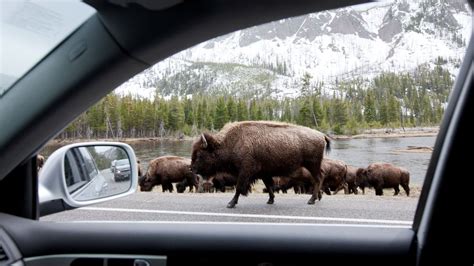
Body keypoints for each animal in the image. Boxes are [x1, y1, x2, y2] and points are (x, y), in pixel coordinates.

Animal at [189, 120, 330, 208]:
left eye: (200, 154)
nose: (192, 169)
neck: (230, 143)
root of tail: (321, 135)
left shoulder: (245, 172)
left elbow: (239, 187)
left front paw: (231, 203)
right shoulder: (264, 173)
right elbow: (269, 186)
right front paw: (270, 200)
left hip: (312, 164)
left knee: (318, 178)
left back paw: (311, 200)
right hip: (313, 165)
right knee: (319, 177)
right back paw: (316, 198)